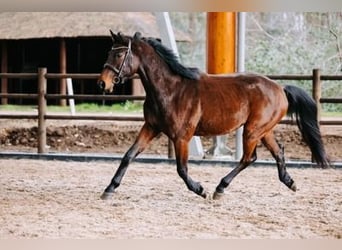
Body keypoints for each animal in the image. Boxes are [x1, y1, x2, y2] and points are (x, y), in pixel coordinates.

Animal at [97, 30, 330, 200]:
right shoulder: (151, 127)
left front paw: (201, 190)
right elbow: (128, 155)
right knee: (277, 152)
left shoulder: (182, 137)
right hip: (263, 130)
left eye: (119, 54)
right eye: (108, 53)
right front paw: (109, 189)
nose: (102, 83)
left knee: (249, 157)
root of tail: (280, 89)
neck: (170, 89)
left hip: (252, 130)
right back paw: (290, 182)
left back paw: (220, 188)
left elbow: (181, 169)